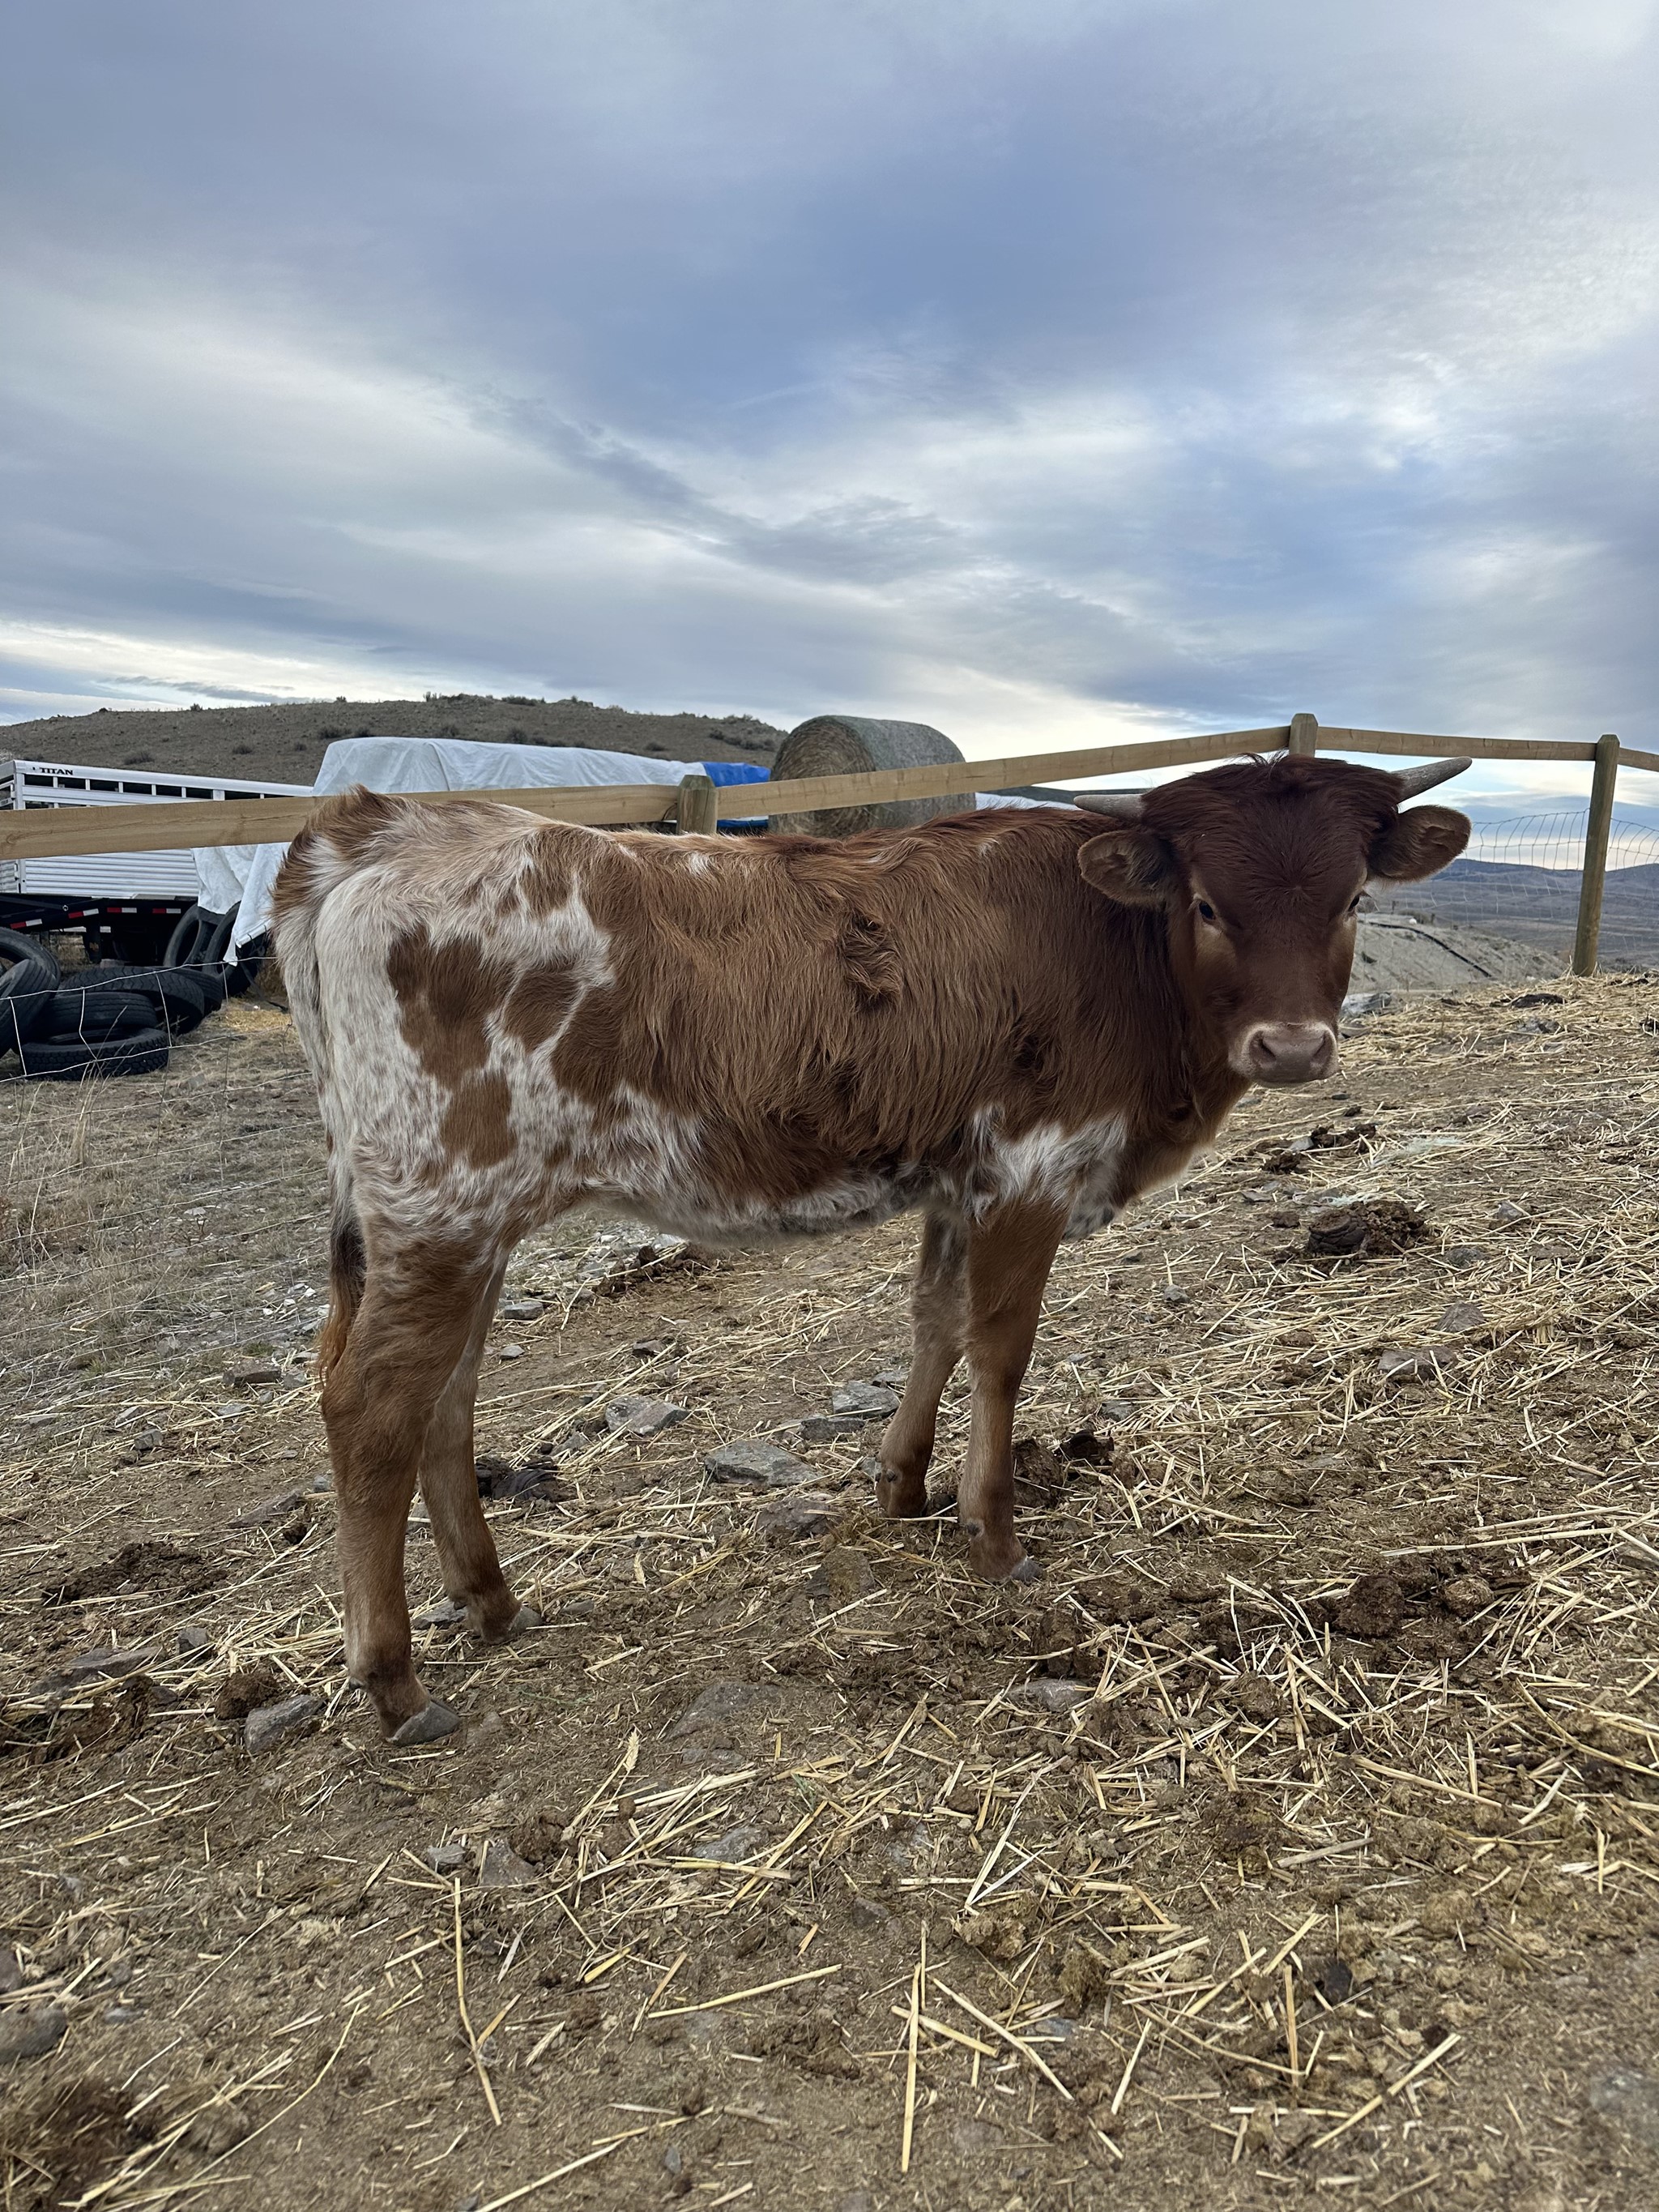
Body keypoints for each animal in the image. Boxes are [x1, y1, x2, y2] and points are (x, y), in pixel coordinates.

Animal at [271, 750, 1470, 1742]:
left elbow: (934, 1319)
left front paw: (902, 1482)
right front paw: (994, 1532)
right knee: (374, 1406)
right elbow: (1000, 1347)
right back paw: (393, 1678)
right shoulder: (1033, 1170)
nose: (1292, 1047)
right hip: (441, 1207)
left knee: (447, 1397)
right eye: (1209, 903)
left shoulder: (960, 1178)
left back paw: (490, 1599)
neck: (1117, 950)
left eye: (1352, 899)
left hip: (458, 1222)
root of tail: (386, 824)